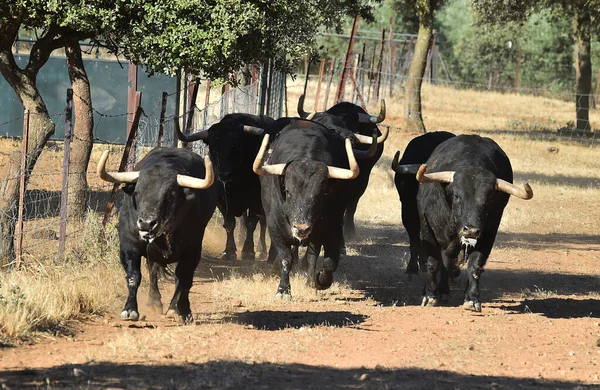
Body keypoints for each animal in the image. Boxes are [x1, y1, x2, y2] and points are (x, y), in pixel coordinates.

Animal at [97, 147, 219, 322]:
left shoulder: (192, 250)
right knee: (153, 272)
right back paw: (154, 302)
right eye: (137, 193)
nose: (146, 223)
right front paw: (130, 309)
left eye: (170, 195)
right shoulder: (128, 245)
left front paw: (180, 310)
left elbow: (184, 279)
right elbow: (133, 277)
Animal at [394, 136, 536, 312]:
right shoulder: (428, 231)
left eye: (489, 199)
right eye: (457, 196)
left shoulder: (488, 234)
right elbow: (434, 263)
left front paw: (472, 299)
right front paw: (430, 296)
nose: (471, 230)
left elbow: (475, 266)